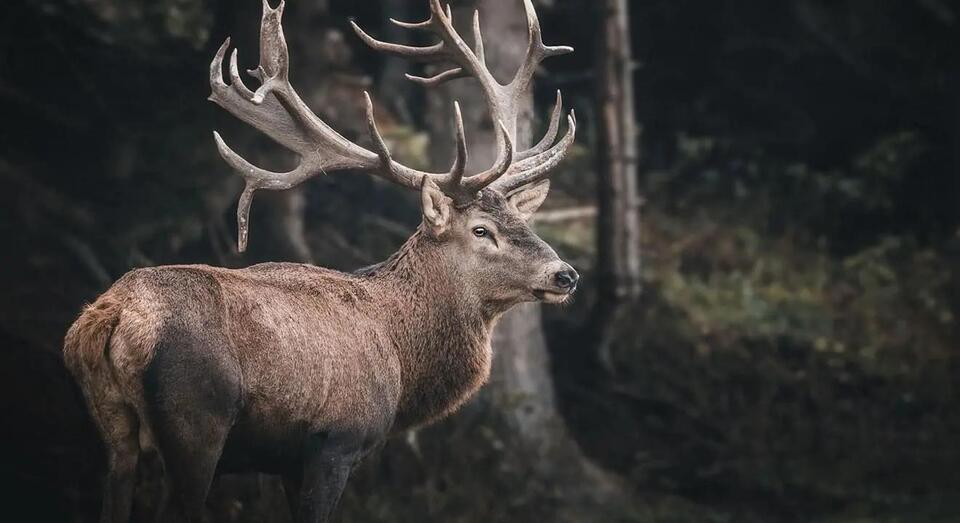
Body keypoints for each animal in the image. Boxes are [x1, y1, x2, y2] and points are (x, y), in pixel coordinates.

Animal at [63, 0, 578, 521]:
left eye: (522, 221)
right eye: (481, 230)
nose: (566, 274)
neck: (401, 360)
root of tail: (113, 316)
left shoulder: (282, 462)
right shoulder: (335, 442)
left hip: (113, 431)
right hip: (196, 420)